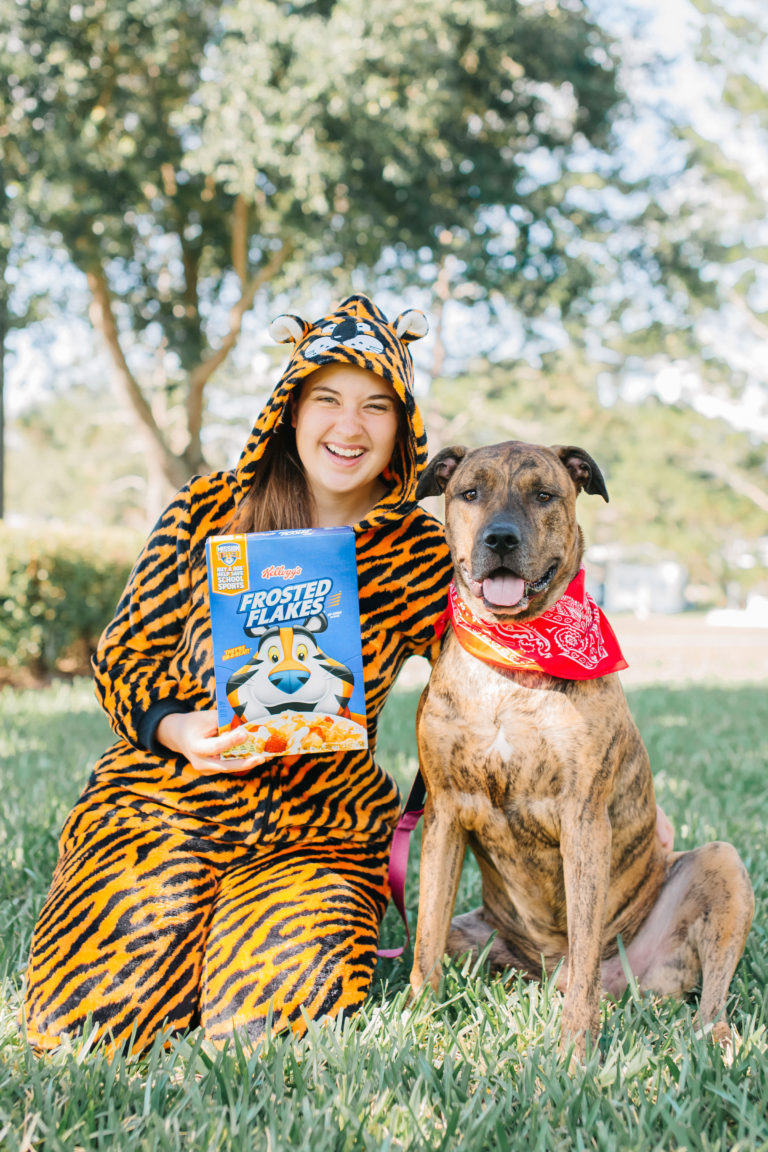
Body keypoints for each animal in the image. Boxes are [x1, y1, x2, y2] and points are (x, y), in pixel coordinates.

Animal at [412, 442, 755, 1059]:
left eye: (544, 494)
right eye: (470, 492)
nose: (500, 539)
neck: (512, 657)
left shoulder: (584, 818)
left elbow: (587, 930)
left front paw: (575, 1049)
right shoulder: (444, 813)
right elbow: (425, 933)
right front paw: (418, 1019)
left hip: (720, 865)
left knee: (703, 993)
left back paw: (716, 1038)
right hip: (476, 933)